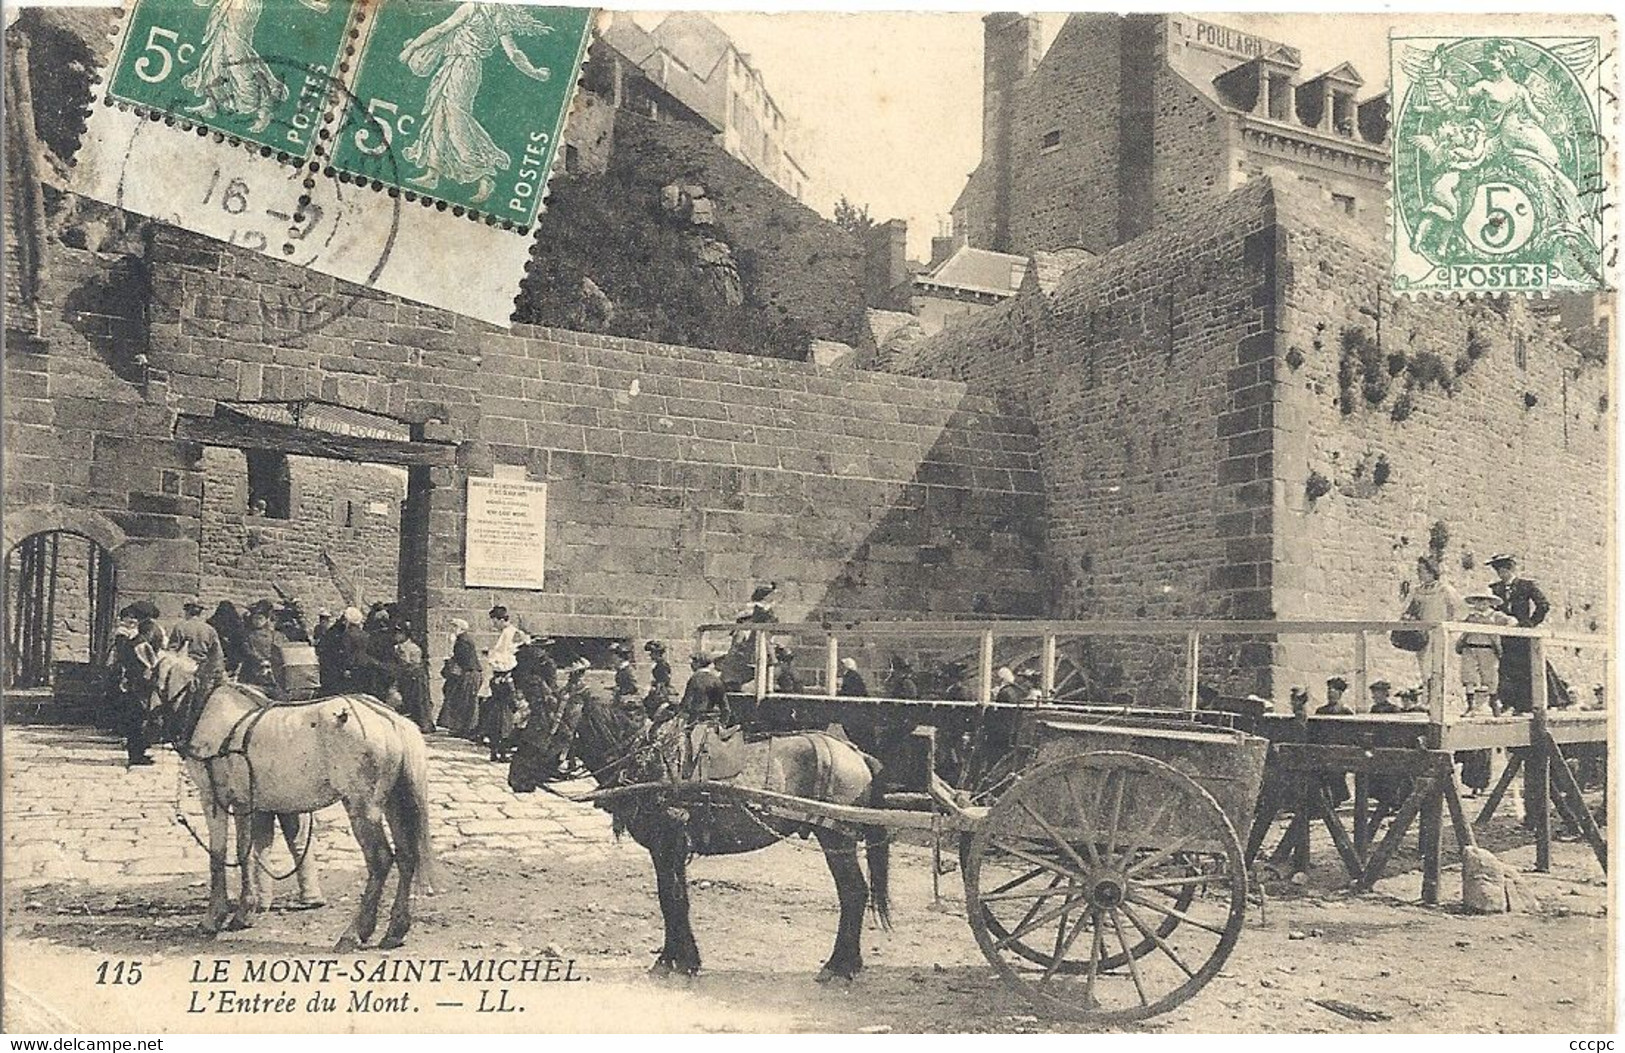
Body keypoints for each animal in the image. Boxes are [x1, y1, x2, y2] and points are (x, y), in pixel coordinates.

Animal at [150, 653, 442, 949]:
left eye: (149, 677)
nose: (149, 724)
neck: (206, 708)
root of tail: (391, 720)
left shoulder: (213, 798)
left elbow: (218, 856)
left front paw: (213, 918)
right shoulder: (244, 803)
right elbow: (245, 852)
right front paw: (244, 912)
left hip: (363, 807)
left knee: (381, 860)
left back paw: (354, 932)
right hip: (394, 802)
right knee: (407, 856)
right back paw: (395, 930)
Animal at [507, 695, 890, 981]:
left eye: (540, 725)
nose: (514, 777)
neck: (647, 761)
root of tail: (856, 754)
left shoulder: (667, 844)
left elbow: (671, 899)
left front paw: (674, 960)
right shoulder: (670, 850)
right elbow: (675, 899)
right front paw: (680, 958)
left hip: (835, 839)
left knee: (853, 893)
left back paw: (838, 966)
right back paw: (849, 963)